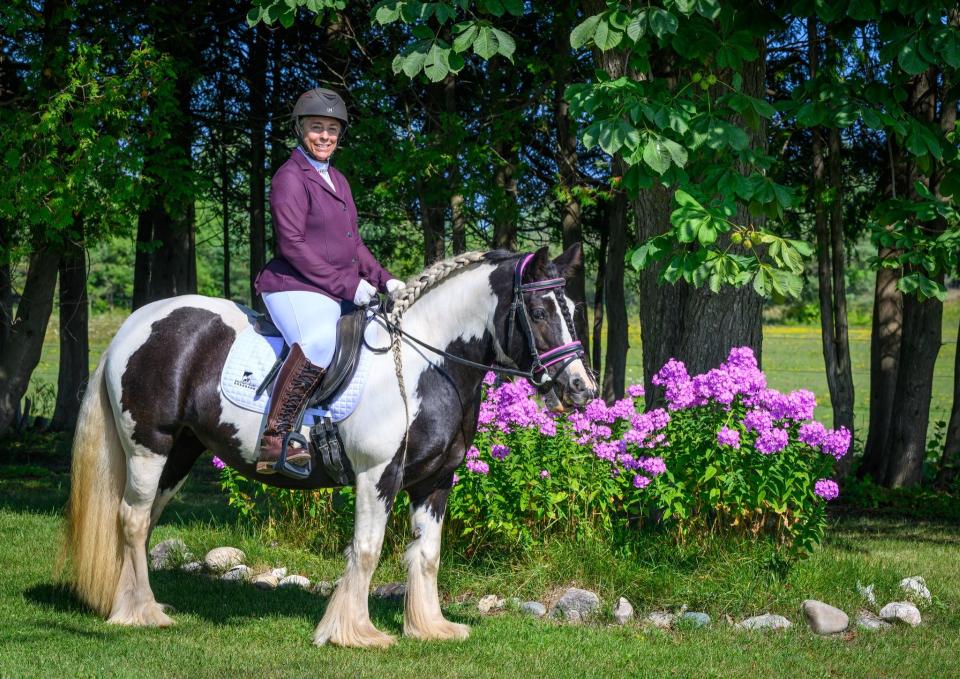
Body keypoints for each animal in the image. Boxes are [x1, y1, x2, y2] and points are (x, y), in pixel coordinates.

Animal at [62, 246, 592, 648]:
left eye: (572, 312)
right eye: (539, 313)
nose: (581, 389)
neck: (425, 364)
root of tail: (135, 325)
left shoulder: (436, 481)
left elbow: (427, 554)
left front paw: (430, 628)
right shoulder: (378, 474)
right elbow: (367, 549)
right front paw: (354, 634)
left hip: (181, 452)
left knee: (144, 520)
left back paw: (135, 603)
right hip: (149, 445)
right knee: (132, 520)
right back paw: (142, 615)